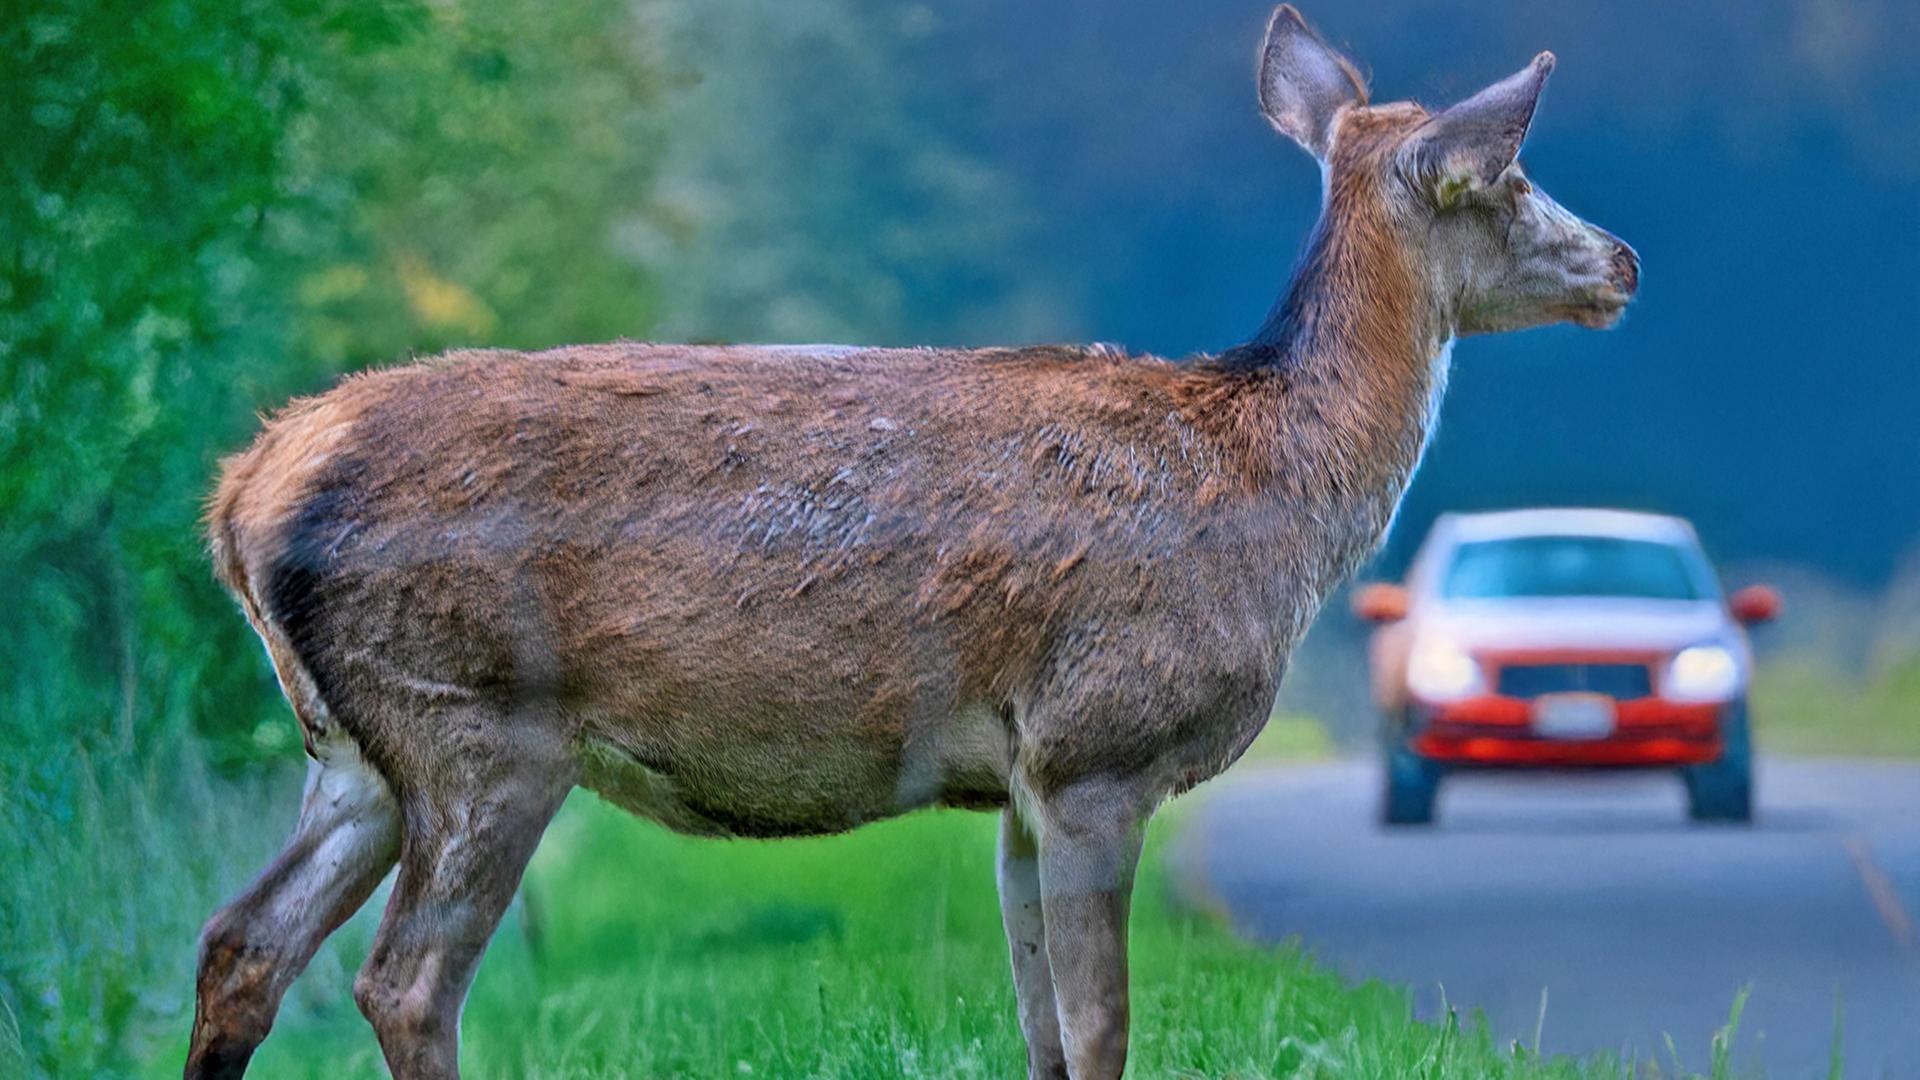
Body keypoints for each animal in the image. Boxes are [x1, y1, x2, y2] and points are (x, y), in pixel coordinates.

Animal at [184, 7, 1638, 1079]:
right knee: (403, 982)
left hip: (354, 745)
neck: (1275, 494)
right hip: (478, 714)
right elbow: (1102, 1031)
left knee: (240, 940)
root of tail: (244, 492)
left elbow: (1045, 1031)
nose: (1623, 260)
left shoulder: (1026, 780)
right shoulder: (1103, 740)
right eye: (1507, 176)